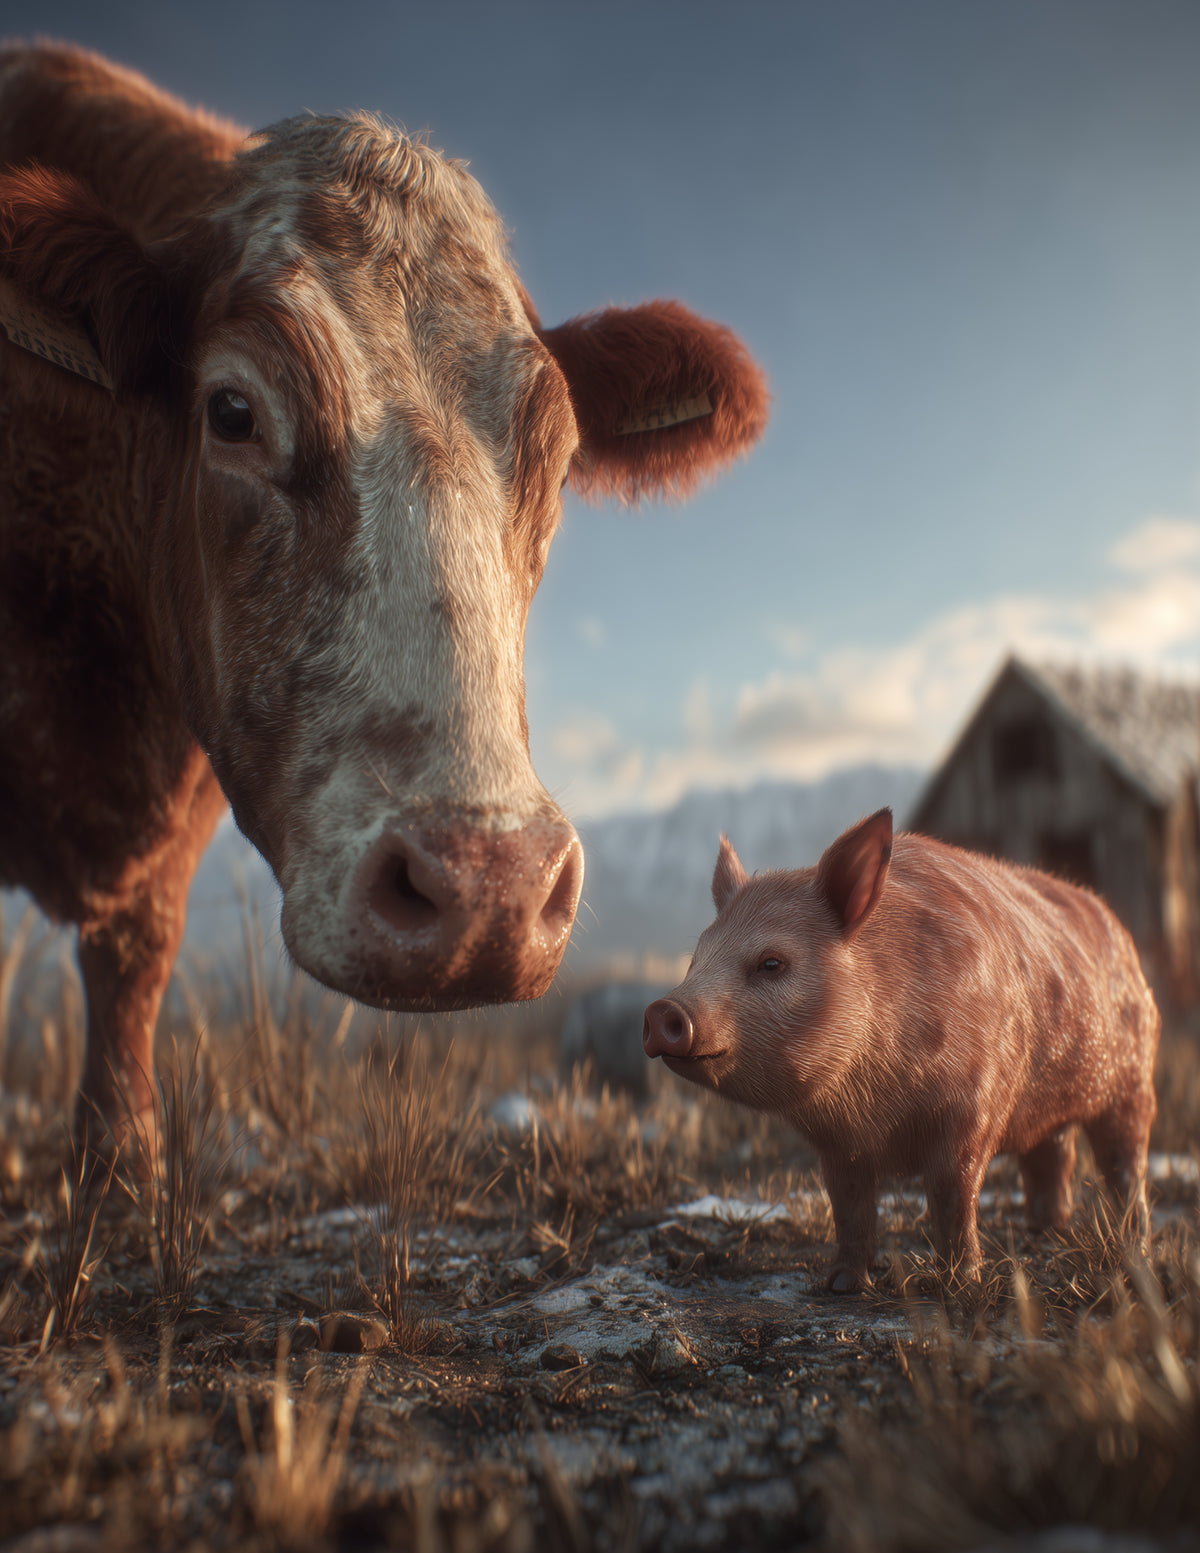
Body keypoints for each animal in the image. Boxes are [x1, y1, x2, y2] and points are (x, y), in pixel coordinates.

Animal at [642, 809, 1159, 1290]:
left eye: (772, 963)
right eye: (696, 957)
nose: (662, 1009)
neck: (874, 1104)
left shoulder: (974, 1108)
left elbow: (953, 1195)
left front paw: (960, 1283)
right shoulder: (839, 1146)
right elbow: (849, 1206)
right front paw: (840, 1285)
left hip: (1134, 1081)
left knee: (1126, 1163)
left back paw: (1134, 1246)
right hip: (1046, 1106)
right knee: (1052, 1153)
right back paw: (1044, 1232)